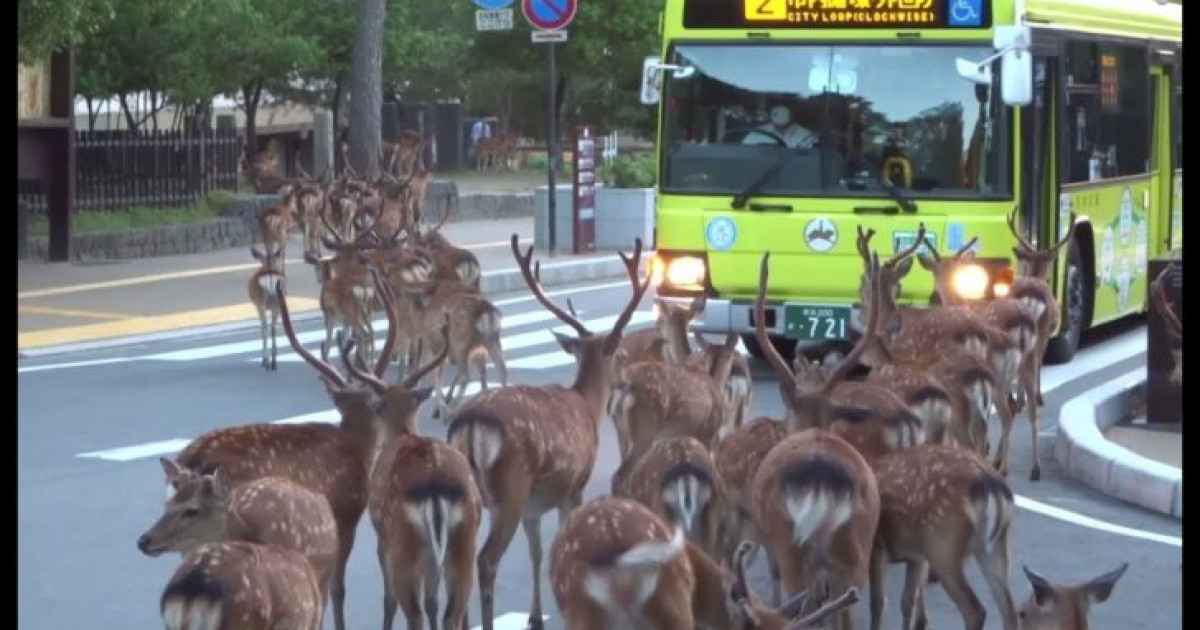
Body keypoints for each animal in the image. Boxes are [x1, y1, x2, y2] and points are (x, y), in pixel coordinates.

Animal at [248, 244, 287, 372]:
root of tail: (270, 275)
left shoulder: (257, 305)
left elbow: (262, 327)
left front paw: (264, 360)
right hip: (278, 301)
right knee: (273, 327)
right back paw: (274, 362)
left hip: (261, 302)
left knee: (265, 327)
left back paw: (266, 361)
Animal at [444, 234, 651, 630]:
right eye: (619, 355)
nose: (626, 379)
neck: (586, 405)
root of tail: (469, 425)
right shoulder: (574, 485)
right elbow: (561, 545)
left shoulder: (534, 505)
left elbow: (537, 552)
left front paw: (535, 615)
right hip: (510, 487)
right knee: (486, 561)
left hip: (470, 498)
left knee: (458, 564)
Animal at [867, 442, 1020, 630]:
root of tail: (989, 484)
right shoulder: (916, 557)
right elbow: (907, 601)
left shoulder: (877, 547)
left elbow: (878, 603)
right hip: (995, 546)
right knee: (1009, 611)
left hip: (943, 546)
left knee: (975, 611)